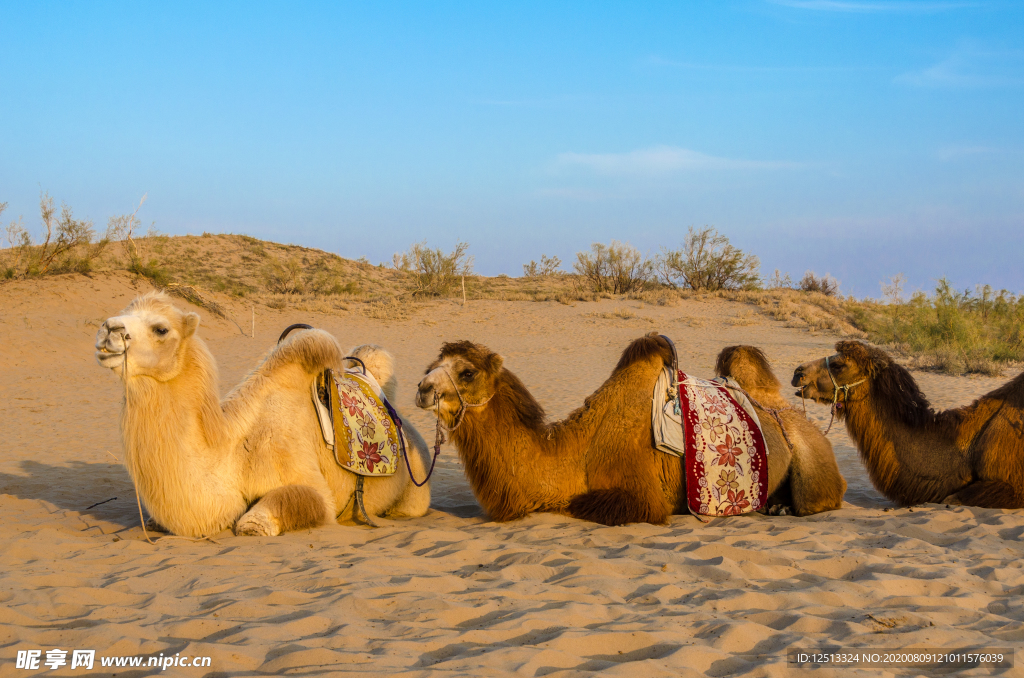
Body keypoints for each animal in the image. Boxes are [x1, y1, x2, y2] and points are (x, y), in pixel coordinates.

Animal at [94, 294, 430, 540]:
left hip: (416, 489)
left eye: (161, 329)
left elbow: (255, 522)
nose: (108, 329)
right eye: (123, 311)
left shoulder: (309, 482)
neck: (232, 453)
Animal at [411, 333, 843, 524]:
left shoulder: (640, 495)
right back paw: (774, 504)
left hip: (811, 455)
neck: (578, 452)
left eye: (466, 372)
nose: (423, 389)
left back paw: (785, 506)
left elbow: (584, 505)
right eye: (430, 367)